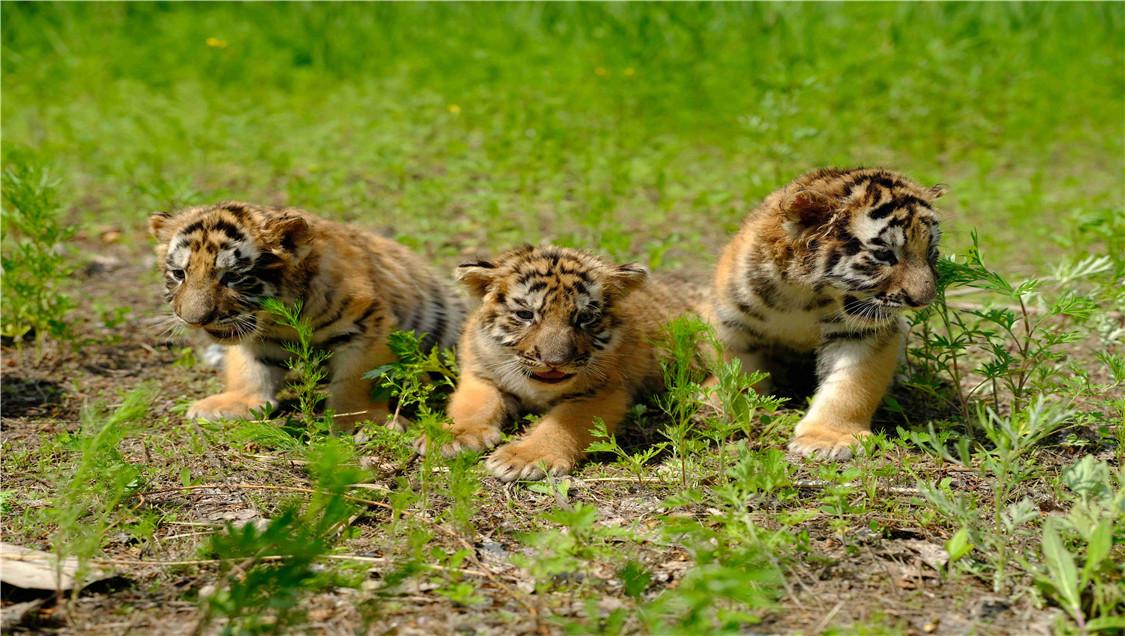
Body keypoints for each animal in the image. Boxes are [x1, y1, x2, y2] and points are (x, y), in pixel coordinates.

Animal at [148, 200, 466, 429]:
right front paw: (232, 403)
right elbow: (250, 370)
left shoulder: (368, 327)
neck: (277, 320)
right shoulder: (252, 338)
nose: (194, 320)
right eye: (179, 274)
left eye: (232, 277)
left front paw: (356, 420)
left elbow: (356, 380)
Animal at [418, 245, 695, 481]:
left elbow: (563, 424)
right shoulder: (480, 373)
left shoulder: (602, 392)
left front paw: (523, 458)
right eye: (525, 314)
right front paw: (452, 436)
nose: (554, 361)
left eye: (584, 317)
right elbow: (473, 405)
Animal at [706, 168, 945, 459]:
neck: (802, 296)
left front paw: (828, 438)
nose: (923, 300)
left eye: (931, 252)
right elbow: (734, 366)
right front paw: (722, 399)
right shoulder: (733, 321)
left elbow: (851, 386)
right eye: (884, 255)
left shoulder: (863, 334)